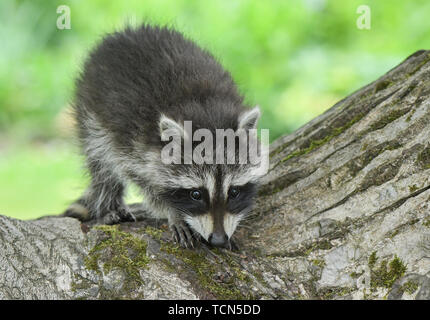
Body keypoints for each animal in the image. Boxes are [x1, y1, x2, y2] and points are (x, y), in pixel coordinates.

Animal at [64, 25, 268, 250]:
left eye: (233, 192)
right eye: (196, 194)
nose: (218, 239)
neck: (205, 110)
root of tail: (128, 31)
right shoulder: (134, 145)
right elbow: (143, 181)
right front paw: (174, 212)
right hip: (91, 110)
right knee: (101, 163)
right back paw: (108, 205)